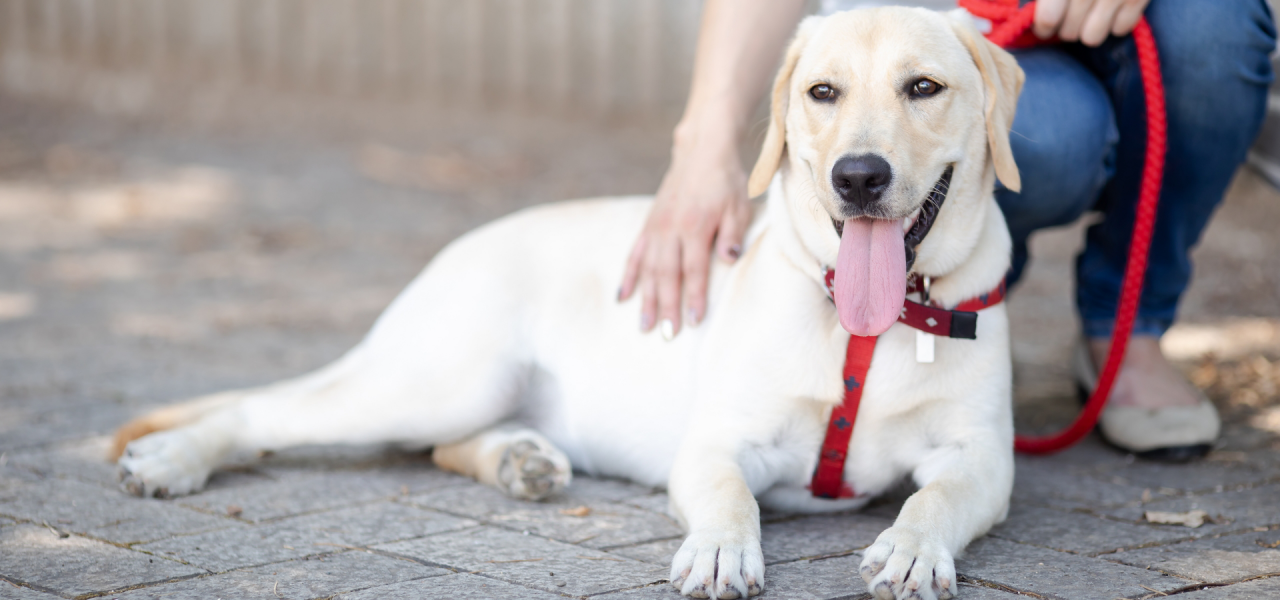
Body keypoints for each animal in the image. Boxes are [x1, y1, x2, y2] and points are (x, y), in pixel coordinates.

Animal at [115, 8, 1024, 598]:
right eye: (823, 93)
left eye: (923, 87)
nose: (858, 177)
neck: (869, 323)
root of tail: (461, 245)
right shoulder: (719, 443)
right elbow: (728, 498)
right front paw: (720, 552)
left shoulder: (981, 458)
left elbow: (935, 496)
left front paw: (912, 548)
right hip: (440, 379)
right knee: (265, 414)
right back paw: (172, 459)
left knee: (439, 447)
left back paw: (519, 460)